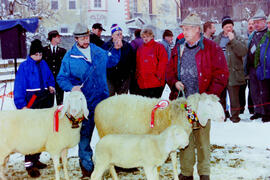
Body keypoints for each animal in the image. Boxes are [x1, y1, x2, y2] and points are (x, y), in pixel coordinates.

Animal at [94, 93, 225, 180]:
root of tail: (98, 106)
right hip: (105, 136)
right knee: (109, 166)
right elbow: (157, 168)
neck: (181, 115)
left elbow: (174, 164)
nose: (223, 117)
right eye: (209, 104)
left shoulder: (172, 147)